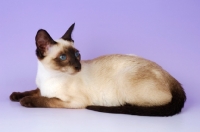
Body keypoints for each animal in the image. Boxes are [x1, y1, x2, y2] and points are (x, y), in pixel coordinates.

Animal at [10, 23, 186, 116]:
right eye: (63, 57)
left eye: (77, 55)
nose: (78, 66)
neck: (48, 76)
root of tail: (169, 75)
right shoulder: (41, 88)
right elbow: (33, 91)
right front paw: (15, 96)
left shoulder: (73, 102)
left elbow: (45, 99)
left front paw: (25, 101)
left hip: (124, 80)